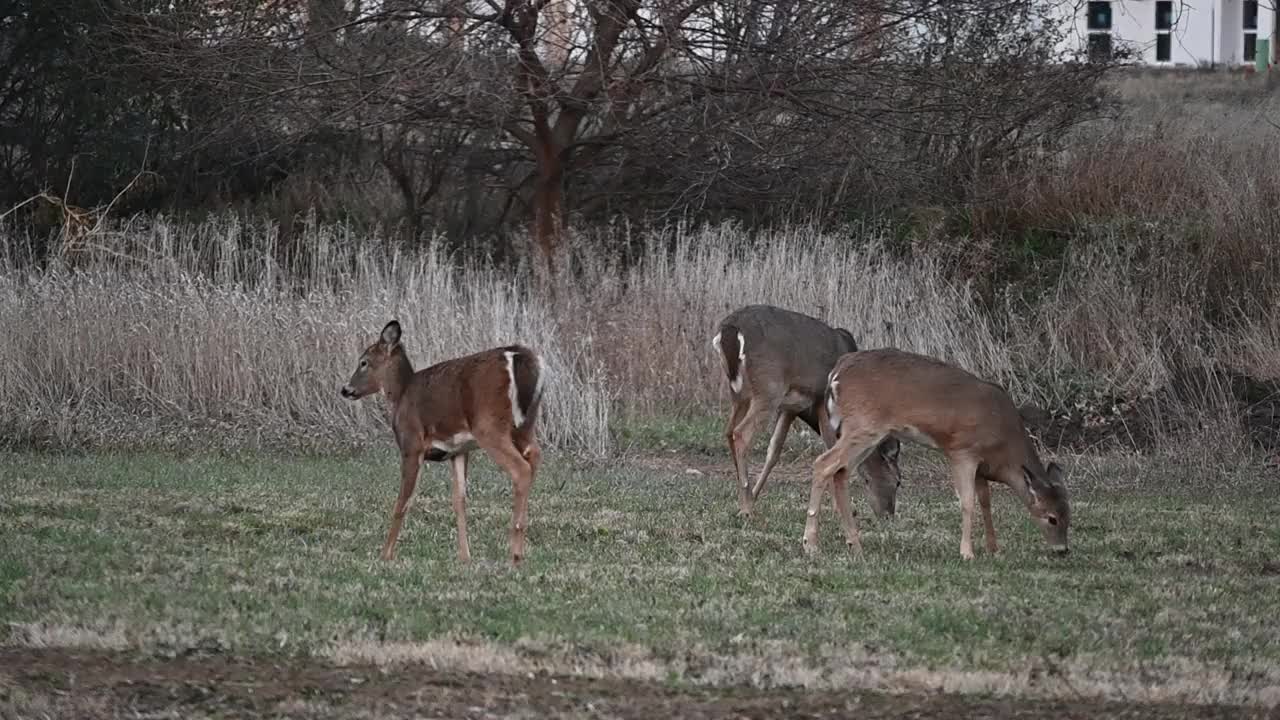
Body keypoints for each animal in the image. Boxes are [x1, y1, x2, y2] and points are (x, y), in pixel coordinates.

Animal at [337, 320, 542, 566]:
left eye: (364, 362)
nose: (346, 389)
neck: (400, 395)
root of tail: (517, 357)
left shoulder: (411, 444)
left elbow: (403, 501)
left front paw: (385, 555)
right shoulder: (458, 451)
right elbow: (459, 500)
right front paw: (464, 557)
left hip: (489, 426)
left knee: (521, 469)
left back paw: (516, 554)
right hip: (525, 425)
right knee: (535, 456)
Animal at [711, 302, 901, 515]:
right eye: (898, 482)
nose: (888, 514)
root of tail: (729, 329)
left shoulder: (791, 408)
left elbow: (774, 450)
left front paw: (756, 494)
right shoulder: (821, 402)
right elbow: (830, 446)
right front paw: (838, 507)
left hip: (740, 393)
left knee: (729, 431)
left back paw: (744, 498)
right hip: (769, 388)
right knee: (741, 433)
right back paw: (746, 507)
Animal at [808, 345, 1070, 558]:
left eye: (1069, 514)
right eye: (1052, 518)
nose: (1063, 550)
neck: (1003, 447)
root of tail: (837, 372)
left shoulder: (982, 467)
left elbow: (985, 502)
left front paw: (993, 548)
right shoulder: (963, 451)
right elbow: (967, 502)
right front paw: (967, 553)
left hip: (867, 434)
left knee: (841, 471)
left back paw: (854, 545)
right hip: (863, 426)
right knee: (823, 463)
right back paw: (811, 545)